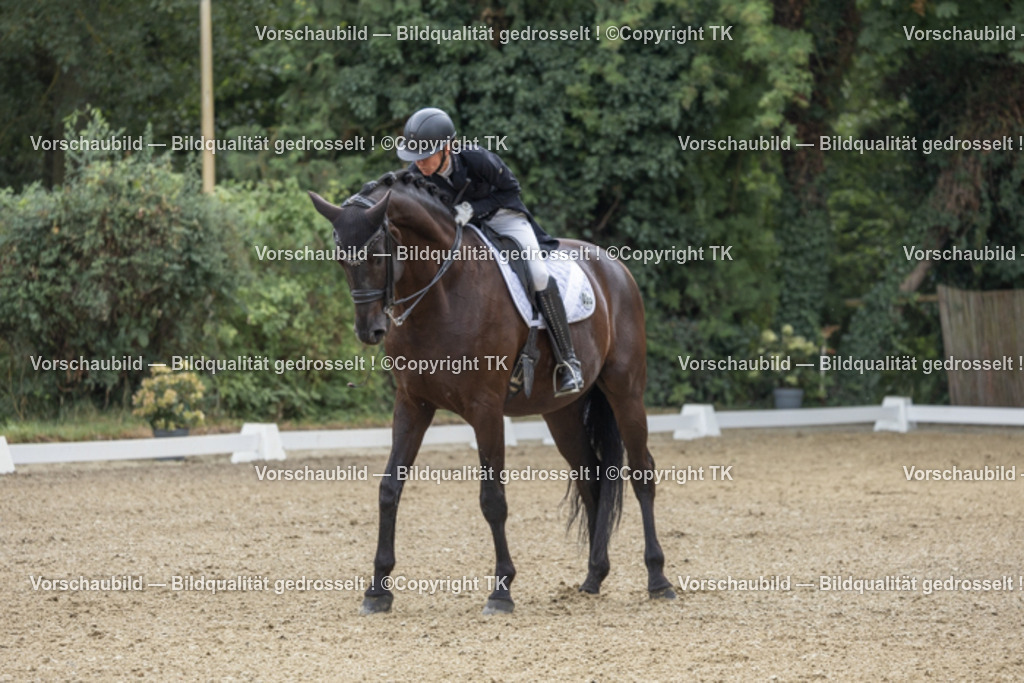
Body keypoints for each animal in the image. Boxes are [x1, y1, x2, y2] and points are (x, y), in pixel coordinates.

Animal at [309, 170, 675, 614]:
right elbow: (389, 489)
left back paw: (658, 579)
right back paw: (593, 577)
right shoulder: (412, 405)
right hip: (562, 412)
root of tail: (615, 266)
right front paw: (377, 589)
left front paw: (501, 590)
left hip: (626, 391)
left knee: (641, 472)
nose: (370, 331)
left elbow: (492, 500)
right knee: (591, 476)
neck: (440, 291)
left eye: (378, 253)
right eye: (341, 259)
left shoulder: (485, 409)